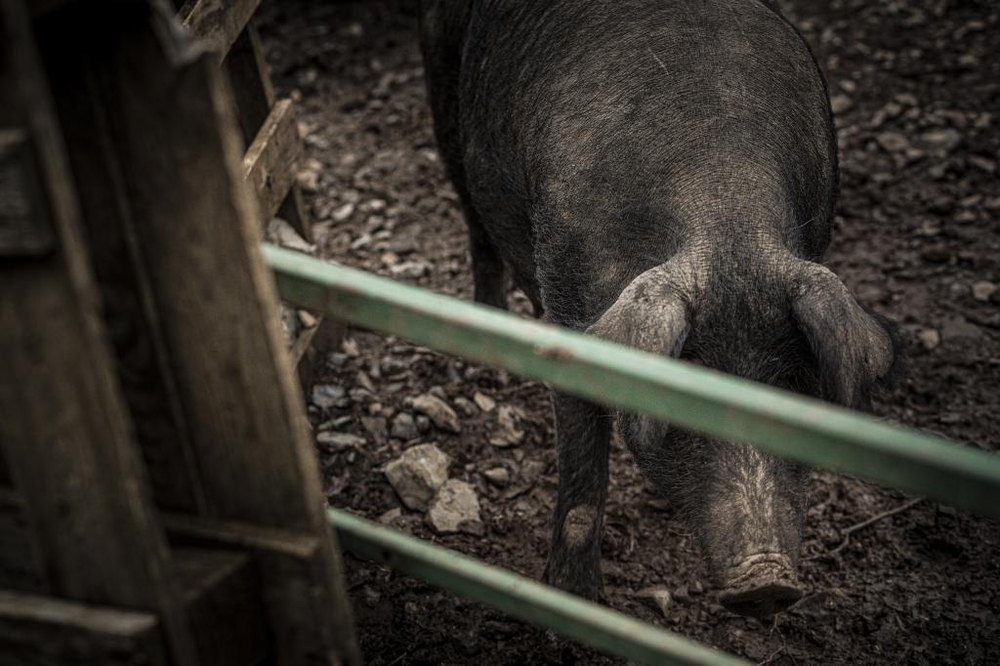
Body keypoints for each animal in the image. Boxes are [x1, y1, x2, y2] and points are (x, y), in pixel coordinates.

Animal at [418, 0, 904, 616]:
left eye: (797, 394)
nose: (767, 582)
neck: (724, 211)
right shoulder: (567, 298)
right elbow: (584, 473)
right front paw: (577, 602)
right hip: (442, 88)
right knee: (476, 225)